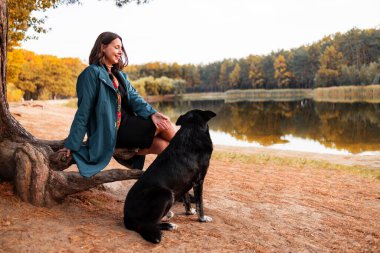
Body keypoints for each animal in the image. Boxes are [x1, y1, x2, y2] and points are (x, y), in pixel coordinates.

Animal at [123, 108, 215, 243]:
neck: (191, 130)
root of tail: (127, 218)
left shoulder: (185, 181)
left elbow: (187, 200)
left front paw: (189, 212)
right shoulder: (199, 181)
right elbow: (200, 204)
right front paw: (202, 219)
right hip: (166, 194)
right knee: (151, 223)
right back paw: (169, 225)